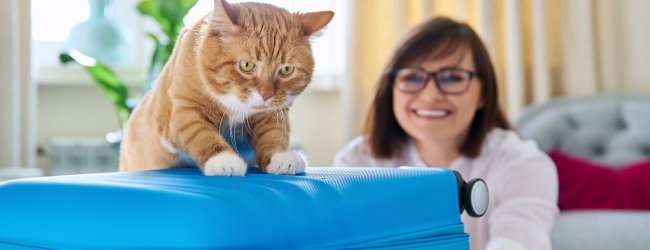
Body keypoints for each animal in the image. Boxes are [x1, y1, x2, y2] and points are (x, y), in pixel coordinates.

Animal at [117, 0, 334, 176]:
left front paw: (279, 157)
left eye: (286, 70)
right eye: (246, 65)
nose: (266, 94)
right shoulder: (184, 113)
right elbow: (201, 134)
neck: (236, 104)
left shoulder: (272, 113)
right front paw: (223, 160)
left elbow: (273, 134)